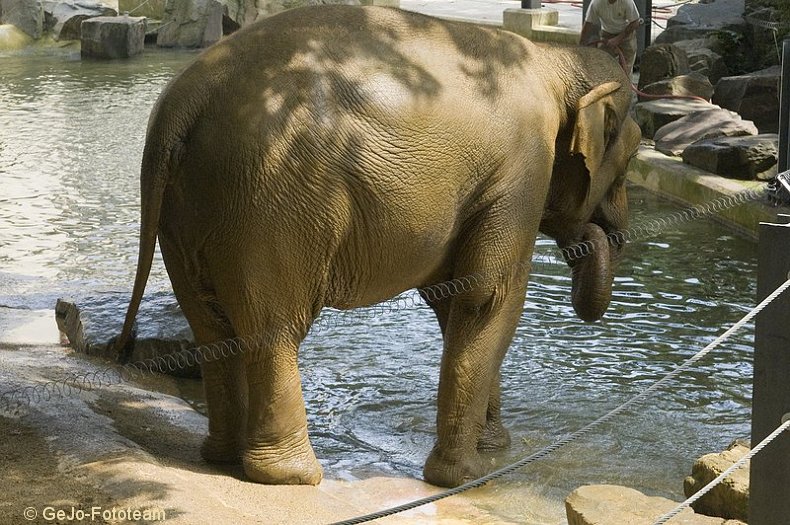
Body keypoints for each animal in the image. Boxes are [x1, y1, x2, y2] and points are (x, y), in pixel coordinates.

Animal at [114, 4, 640, 488]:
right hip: (269, 200)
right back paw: (293, 476)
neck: (556, 60)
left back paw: (223, 457)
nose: (599, 234)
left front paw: (495, 447)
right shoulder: (522, 167)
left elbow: (453, 301)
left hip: (188, 212)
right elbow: (487, 296)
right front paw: (469, 475)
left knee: (211, 325)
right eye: (633, 158)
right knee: (273, 328)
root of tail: (183, 101)